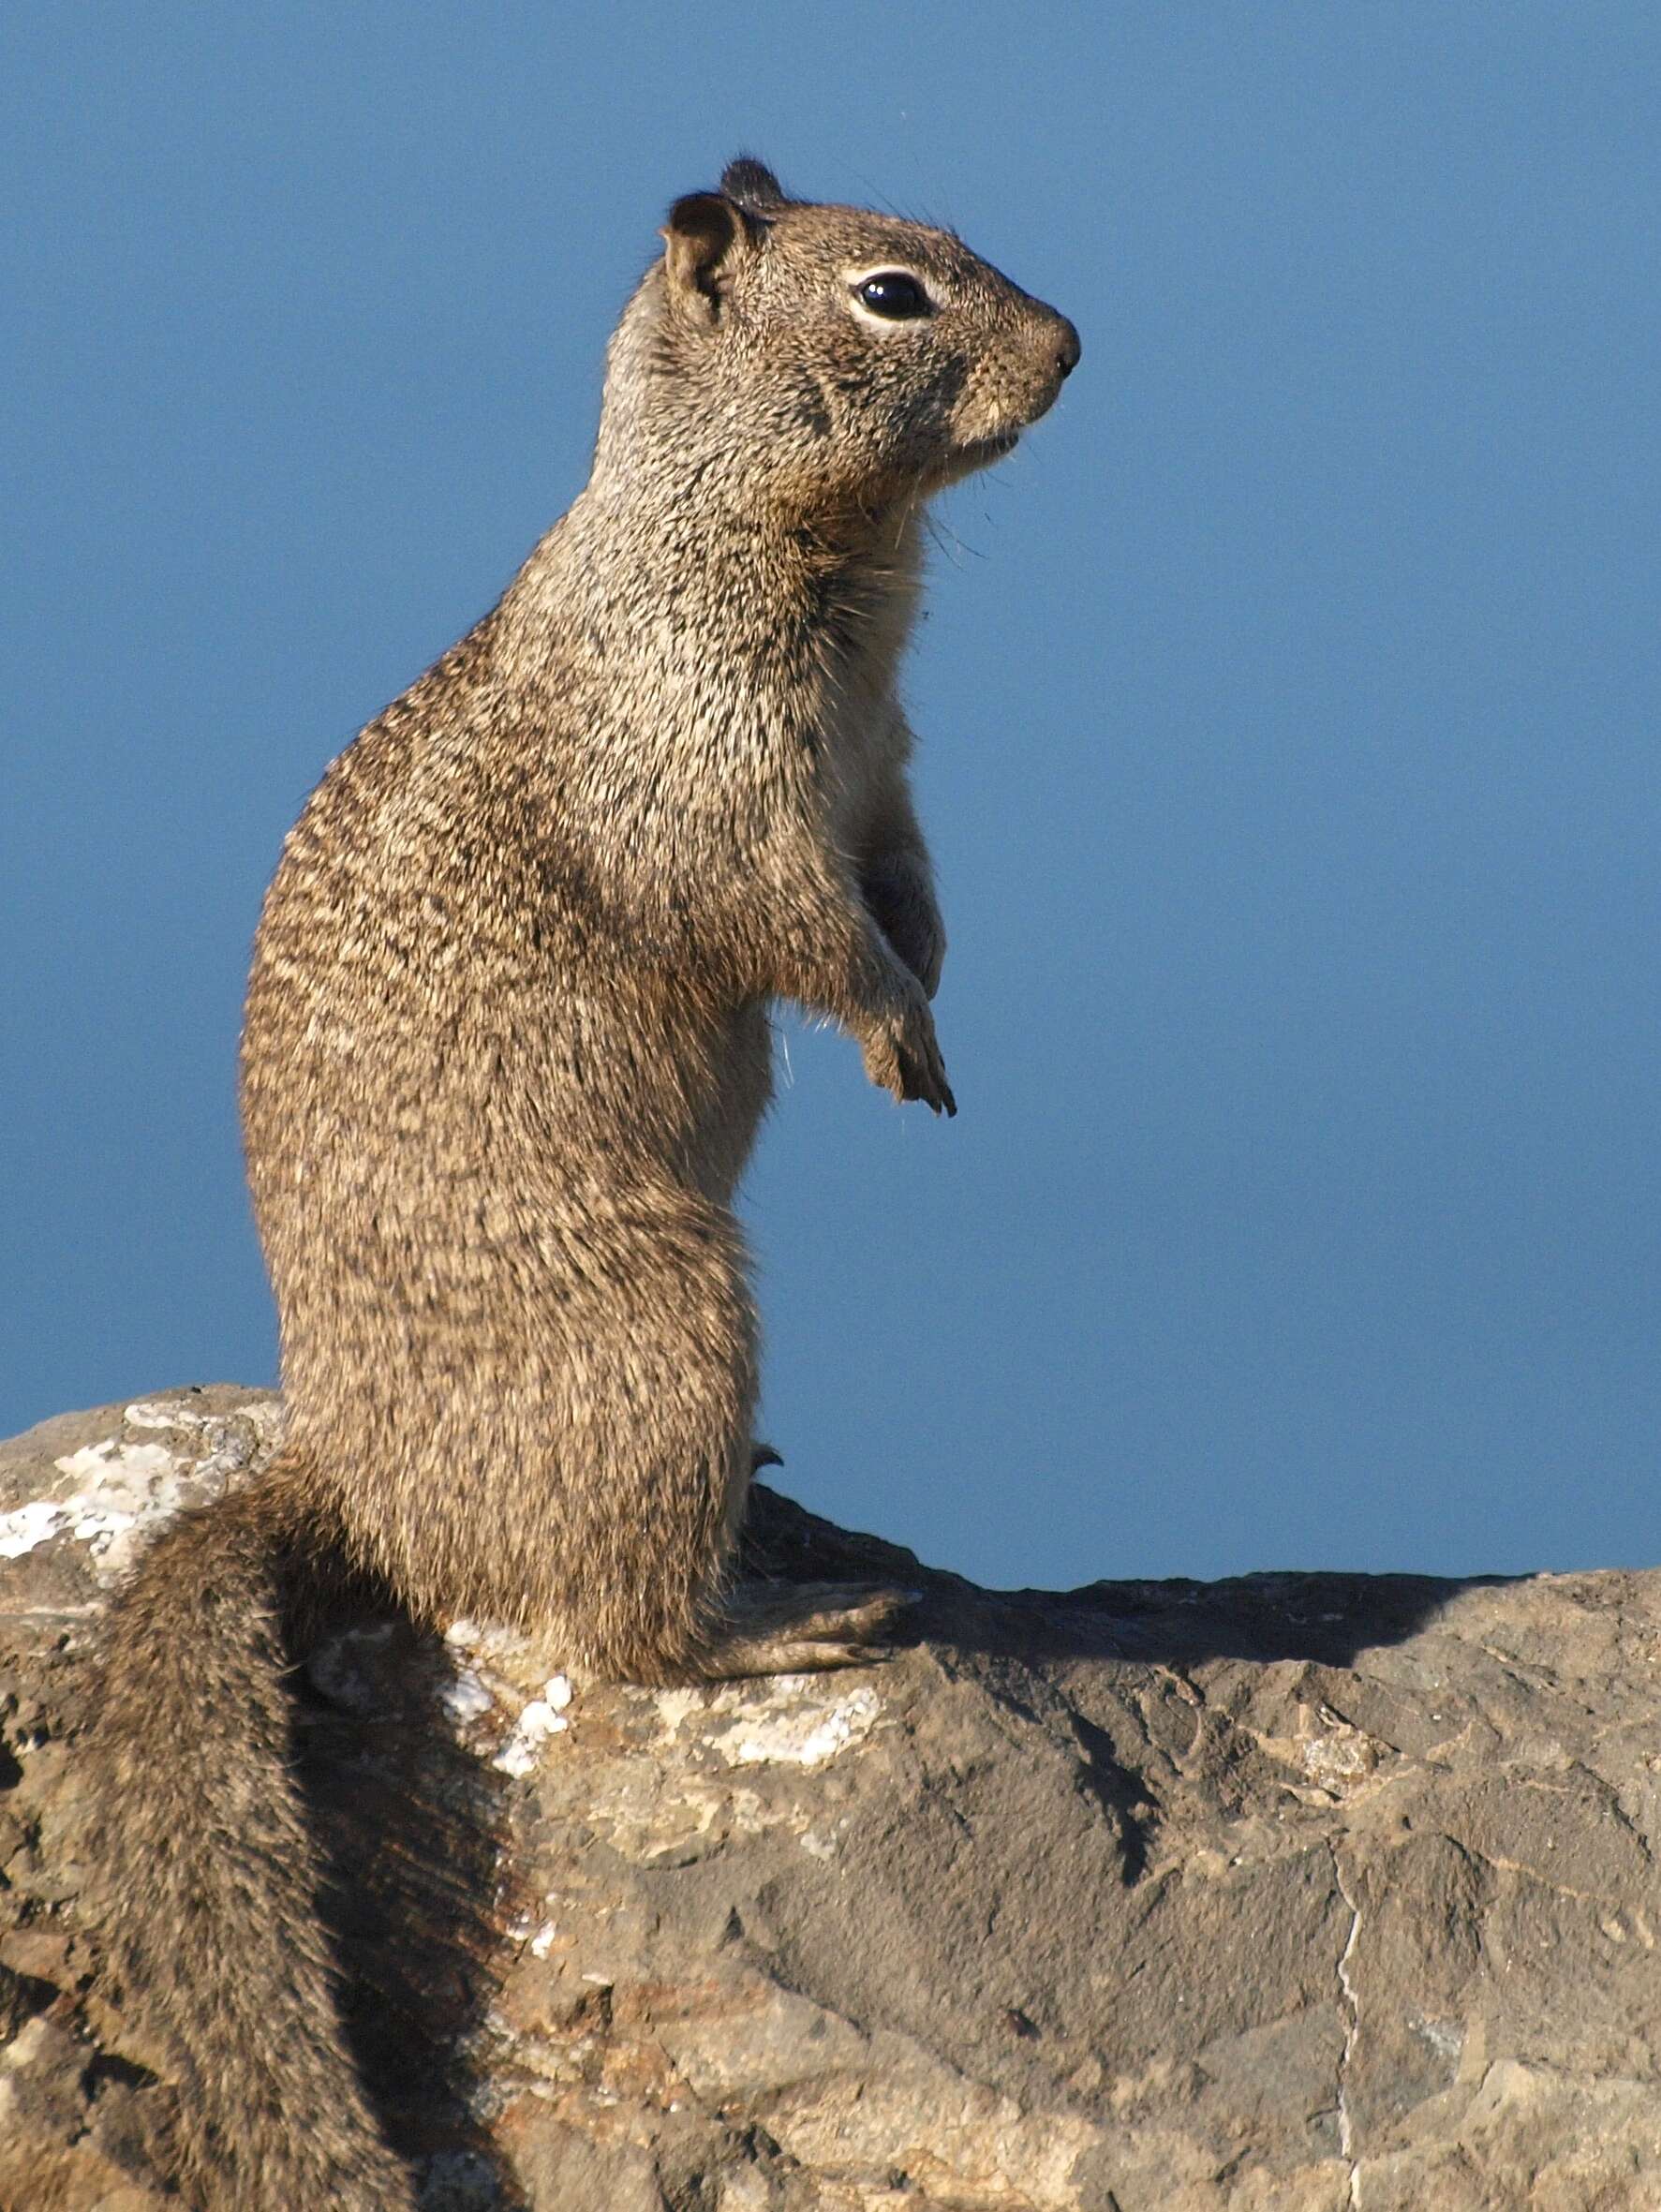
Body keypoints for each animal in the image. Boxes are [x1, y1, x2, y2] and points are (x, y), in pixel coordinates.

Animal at [87, 160, 1079, 2212]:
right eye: (891, 292)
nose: (1076, 344)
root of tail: (341, 1474)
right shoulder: (721, 796)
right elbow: (804, 933)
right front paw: (896, 1034)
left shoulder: (885, 773)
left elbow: (913, 886)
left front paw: (938, 1015)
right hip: (664, 1321)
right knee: (625, 1640)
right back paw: (793, 1621)